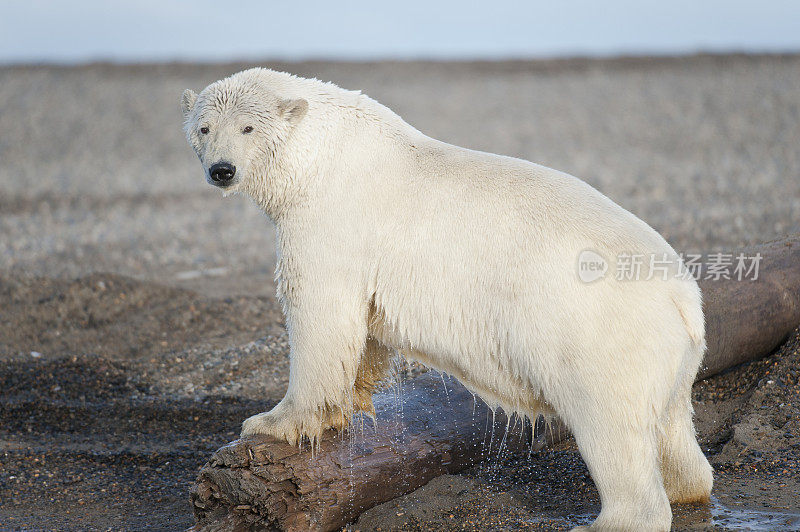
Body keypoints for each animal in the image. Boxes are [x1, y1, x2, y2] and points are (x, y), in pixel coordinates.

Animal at [181, 68, 712, 528]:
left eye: (248, 127)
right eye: (204, 128)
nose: (222, 170)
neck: (320, 153)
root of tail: (682, 295)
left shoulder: (330, 218)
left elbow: (320, 313)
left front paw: (270, 422)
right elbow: (363, 330)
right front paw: (351, 399)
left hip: (600, 337)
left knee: (612, 429)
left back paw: (608, 519)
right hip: (669, 356)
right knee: (673, 428)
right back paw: (688, 486)